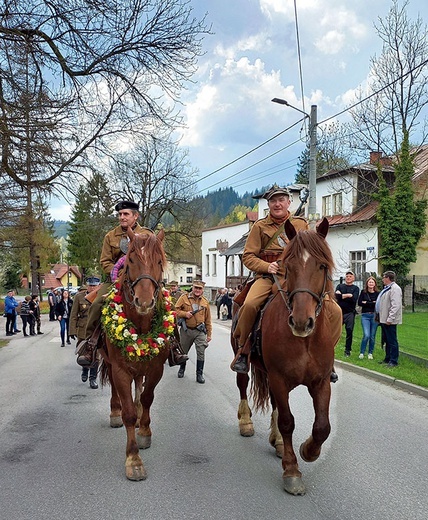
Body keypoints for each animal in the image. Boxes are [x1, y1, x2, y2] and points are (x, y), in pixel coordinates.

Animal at [99, 230, 171, 482]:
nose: (145, 301)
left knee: (139, 387)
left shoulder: (156, 368)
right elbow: (128, 413)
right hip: (110, 363)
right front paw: (134, 460)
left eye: (159, 262)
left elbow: (147, 398)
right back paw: (115, 412)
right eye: (130, 261)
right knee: (115, 390)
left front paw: (145, 431)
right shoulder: (120, 370)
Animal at [231, 218, 342, 496]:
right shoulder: (279, 379)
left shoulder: (320, 382)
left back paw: (279, 442)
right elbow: (287, 421)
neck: (305, 341)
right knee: (242, 384)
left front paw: (308, 451)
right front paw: (292, 471)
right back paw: (246, 422)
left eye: (322, 265)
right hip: (244, 360)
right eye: (287, 266)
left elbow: (322, 426)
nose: (301, 322)